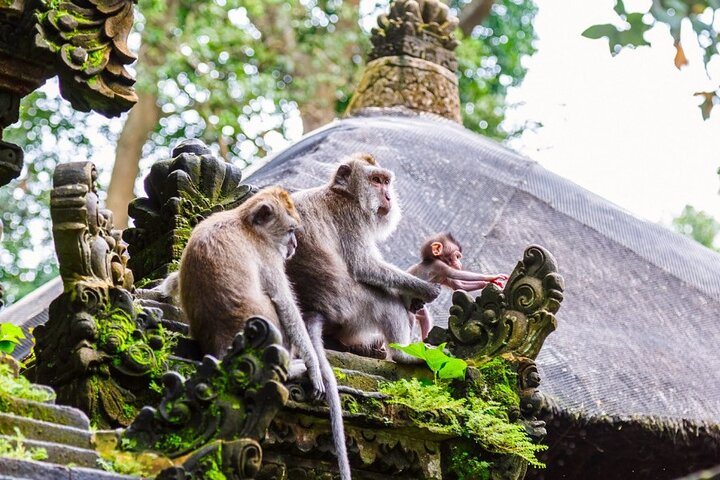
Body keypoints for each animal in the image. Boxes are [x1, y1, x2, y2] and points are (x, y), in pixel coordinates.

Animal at [177, 186, 351, 480]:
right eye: (290, 230)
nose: (294, 245)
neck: (244, 223)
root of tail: (221, 350)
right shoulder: (268, 254)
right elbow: (285, 303)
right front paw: (314, 367)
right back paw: (296, 367)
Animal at [286, 153, 442, 364]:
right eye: (376, 180)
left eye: (386, 182)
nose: (388, 197)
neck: (344, 194)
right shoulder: (351, 216)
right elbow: (364, 266)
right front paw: (424, 290)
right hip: (349, 308)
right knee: (387, 302)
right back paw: (403, 356)